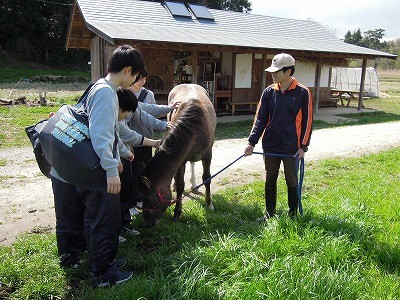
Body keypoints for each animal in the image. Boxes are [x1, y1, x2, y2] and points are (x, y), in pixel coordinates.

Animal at [139, 83, 217, 226]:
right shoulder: (181, 160)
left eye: (148, 198)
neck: (193, 126)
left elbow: (207, 178)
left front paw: (209, 204)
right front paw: (177, 212)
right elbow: (180, 184)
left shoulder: (208, 155)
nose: (147, 223)